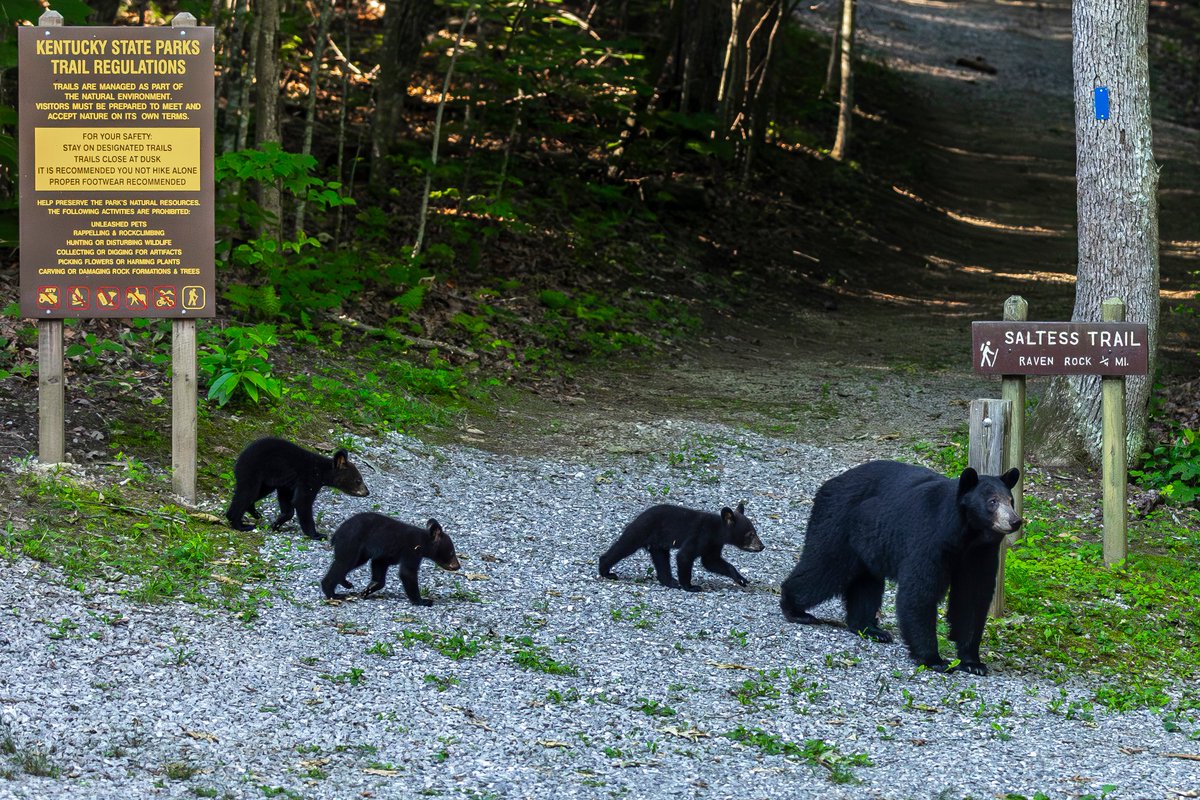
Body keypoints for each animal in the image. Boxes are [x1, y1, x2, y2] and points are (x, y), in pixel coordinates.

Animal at [225, 437, 370, 540]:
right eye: (358, 480)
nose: (367, 492)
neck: (321, 472)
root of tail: (240, 457)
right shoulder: (308, 480)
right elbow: (302, 502)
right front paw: (317, 534)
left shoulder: (287, 483)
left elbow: (287, 502)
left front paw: (276, 523)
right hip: (252, 471)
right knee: (246, 493)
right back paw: (239, 524)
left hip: (266, 482)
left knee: (255, 494)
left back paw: (254, 513)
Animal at [321, 512, 461, 605]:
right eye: (451, 552)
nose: (458, 566)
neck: (423, 542)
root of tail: (336, 533)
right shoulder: (411, 551)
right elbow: (407, 573)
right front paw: (422, 601)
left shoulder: (385, 554)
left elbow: (379, 565)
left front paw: (368, 589)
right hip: (351, 542)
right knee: (343, 563)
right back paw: (333, 594)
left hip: (360, 551)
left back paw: (345, 583)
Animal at [598, 502, 764, 591]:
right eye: (751, 534)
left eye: (754, 532)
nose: (762, 546)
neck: (716, 531)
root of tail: (639, 516)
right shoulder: (700, 535)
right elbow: (685, 556)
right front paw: (690, 586)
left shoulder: (714, 544)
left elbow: (711, 561)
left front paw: (740, 578)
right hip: (642, 529)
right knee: (624, 546)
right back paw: (606, 571)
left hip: (658, 543)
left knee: (661, 559)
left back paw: (670, 581)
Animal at [779, 461, 1022, 675]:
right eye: (992, 501)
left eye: (1011, 500)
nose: (1015, 521)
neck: (966, 534)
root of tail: (830, 483)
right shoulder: (930, 540)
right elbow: (919, 592)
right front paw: (934, 659)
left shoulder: (979, 554)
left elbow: (972, 597)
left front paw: (972, 662)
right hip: (839, 523)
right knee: (824, 566)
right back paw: (794, 608)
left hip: (868, 542)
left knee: (866, 582)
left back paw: (870, 628)